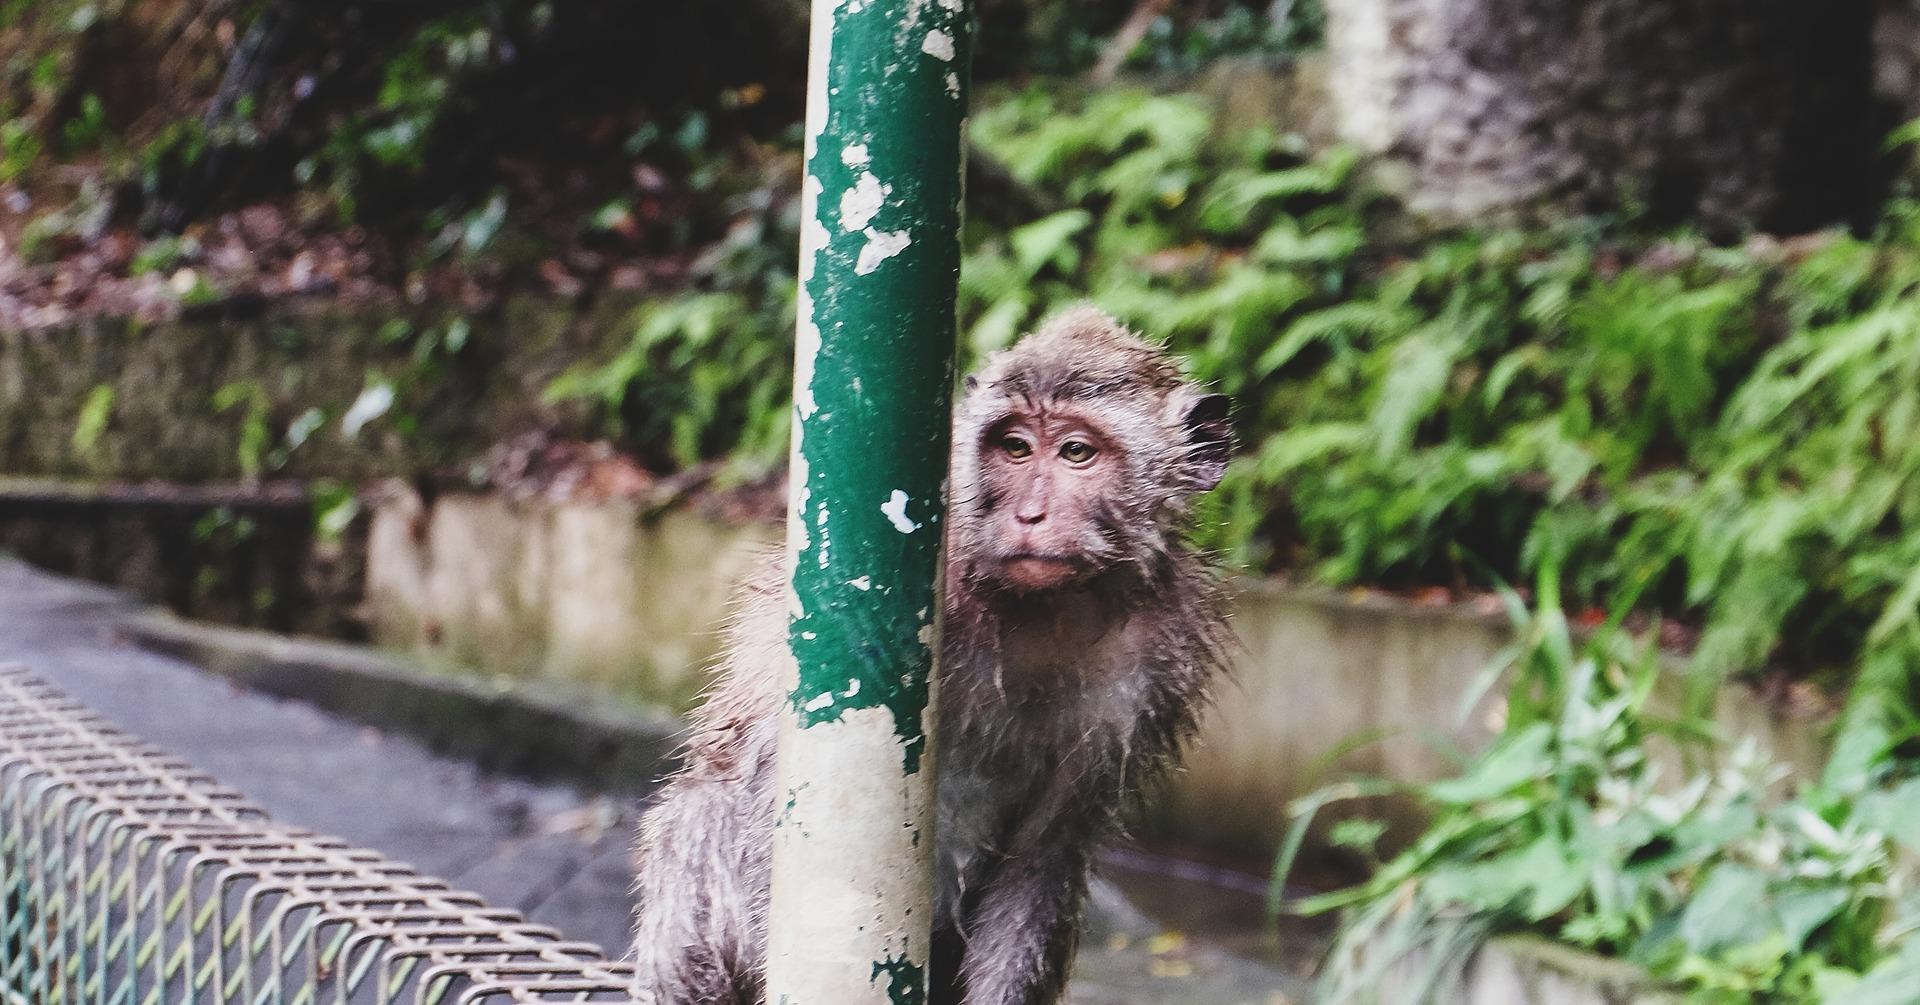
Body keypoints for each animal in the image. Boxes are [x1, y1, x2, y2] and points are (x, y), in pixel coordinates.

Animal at [631, 305, 1234, 1005]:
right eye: (1015, 446)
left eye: (1076, 451)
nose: (1030, 514)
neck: (1044, 610)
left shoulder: (1154, 662)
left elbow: (1046, 852)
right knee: (707, 813)